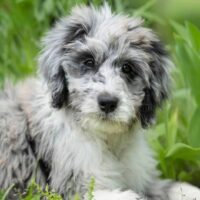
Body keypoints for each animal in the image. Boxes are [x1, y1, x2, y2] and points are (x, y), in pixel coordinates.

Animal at [0, 3, 200, 200]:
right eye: (88, 62)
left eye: (127, 68)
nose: (108, 102)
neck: (108, 141)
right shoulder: (71, 188)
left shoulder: (145, 180)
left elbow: (175, 188)